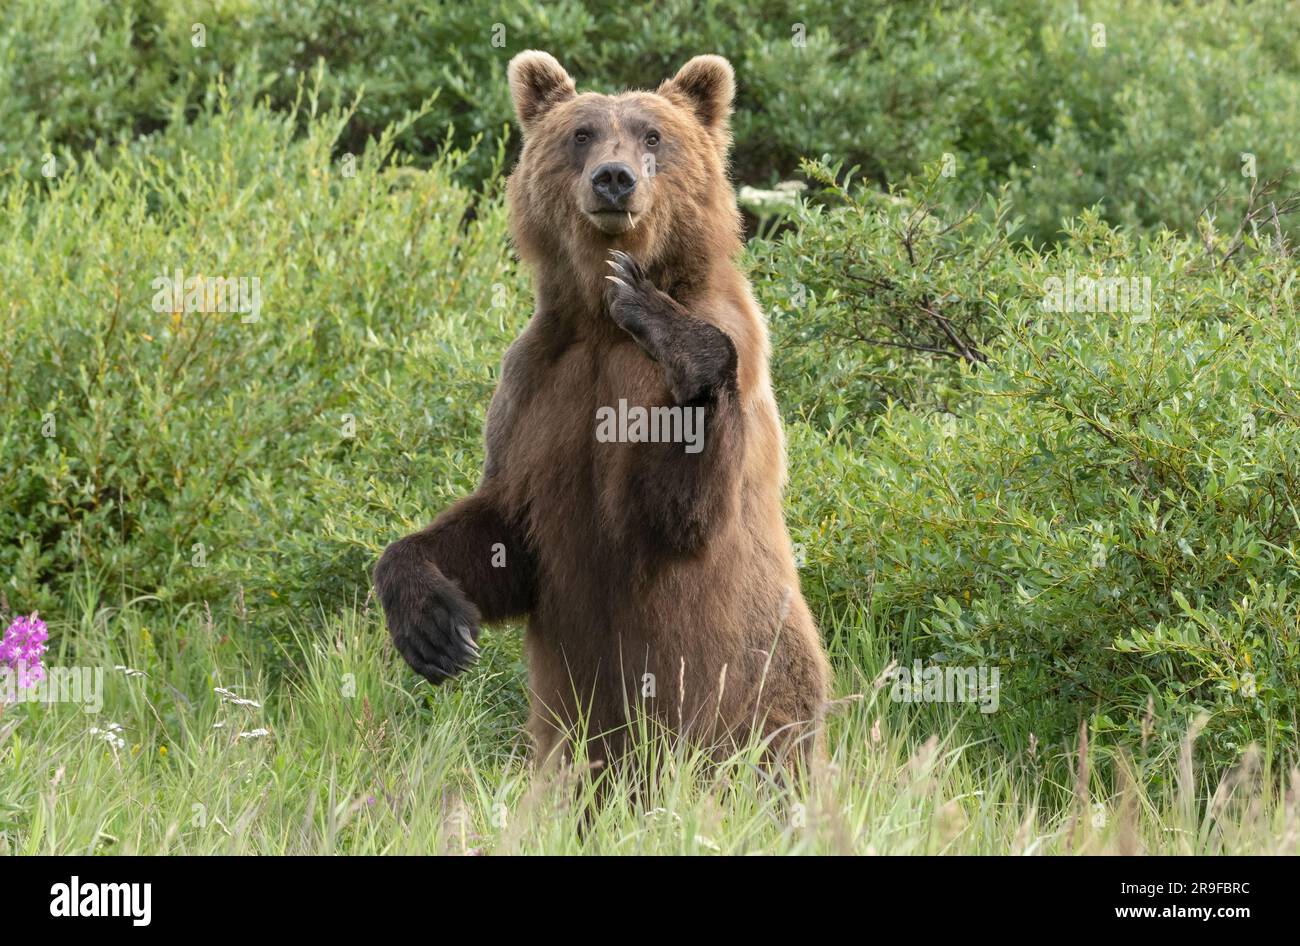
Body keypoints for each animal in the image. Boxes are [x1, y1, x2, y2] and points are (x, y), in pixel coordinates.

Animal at [371, 51, 826, 774]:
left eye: (653, 135)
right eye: (582, 133)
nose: (614, 179)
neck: (600, 327)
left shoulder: (720, 356)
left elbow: (681, 511)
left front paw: (661, 319)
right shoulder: (536, 385)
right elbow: (503, 527)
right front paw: (433, 626)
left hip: (754, 688)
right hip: (571, 739)